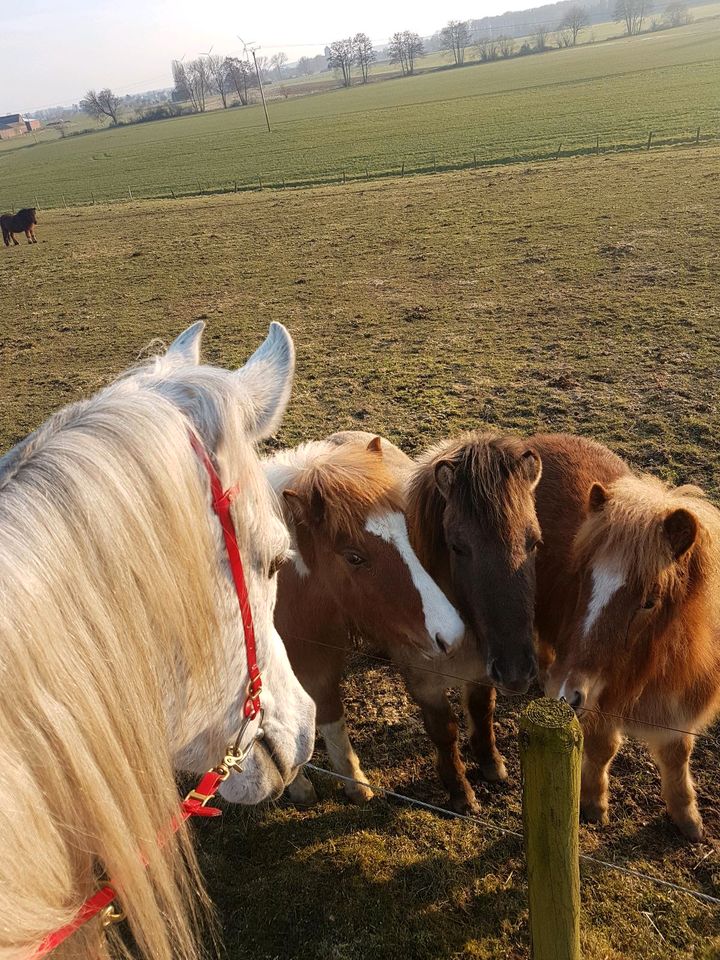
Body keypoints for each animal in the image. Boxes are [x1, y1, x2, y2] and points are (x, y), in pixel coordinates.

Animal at [262, 438, 464, 808]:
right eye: (354, 557)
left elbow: (332, 720)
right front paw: (298, 787)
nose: (451, 634)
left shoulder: (321, 665)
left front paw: (355, 784)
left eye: (408, 530)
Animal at [536, 432, 720, 836]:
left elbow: (677, 755)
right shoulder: (599, 699)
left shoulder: (680, 705)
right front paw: (593, 802)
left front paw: (687, 817)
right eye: (582, 577)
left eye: (649, 601)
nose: (563, 692)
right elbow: (603, 747)